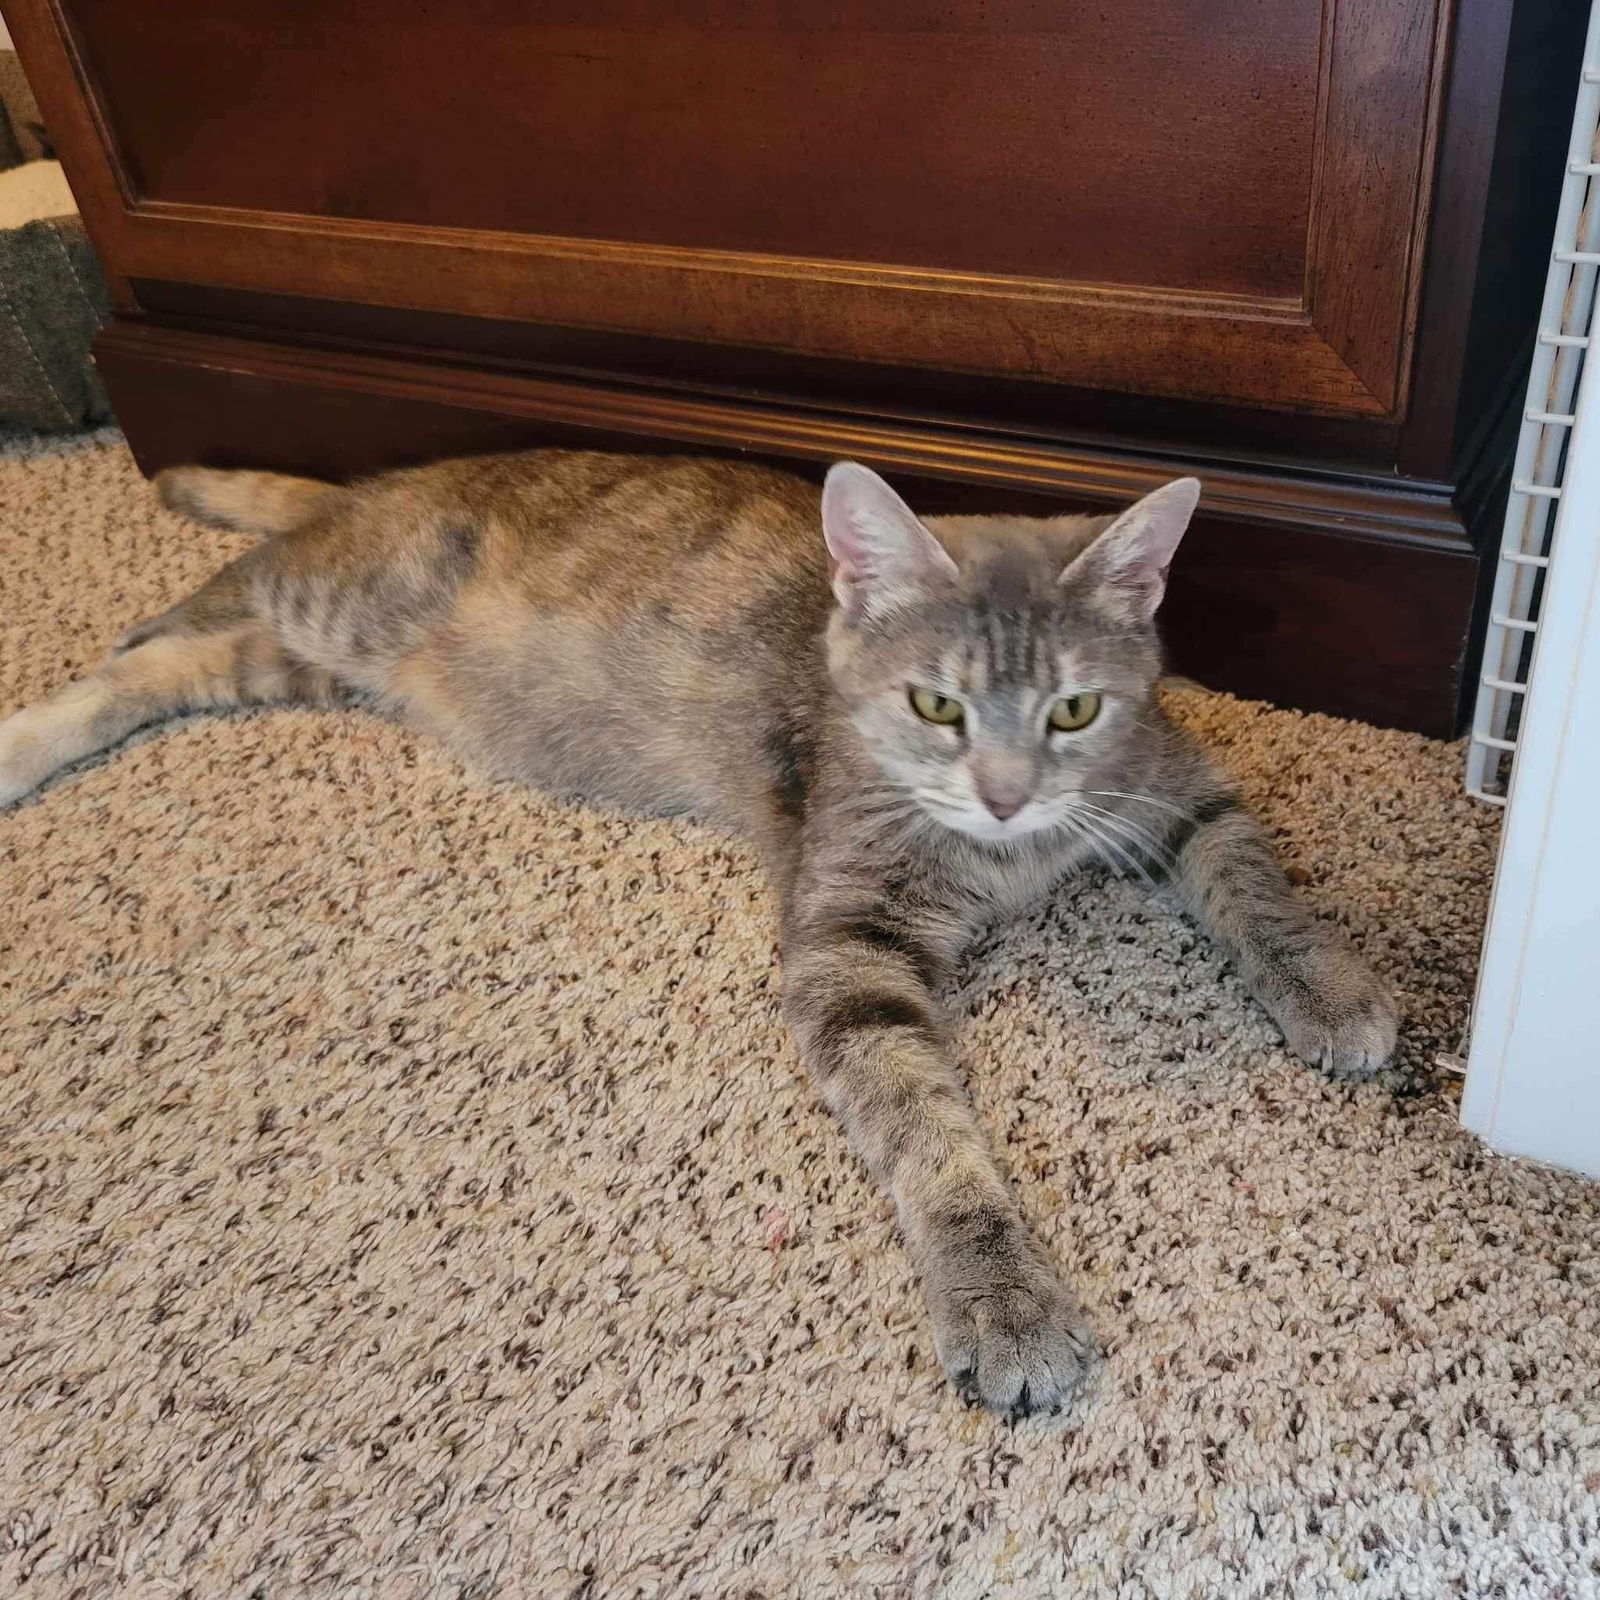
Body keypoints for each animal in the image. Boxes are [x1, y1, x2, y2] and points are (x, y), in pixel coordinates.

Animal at [0, 448, 1395, 1414]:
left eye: (1072, 710)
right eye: (935, 705)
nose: (1005, 794)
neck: (1006, 854)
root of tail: (394, 475)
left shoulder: (1178, 786)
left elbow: (1256, 883)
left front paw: (1329, 987)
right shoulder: (846, 947)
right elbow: (934, 1137)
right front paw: (1001, 1298)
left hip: (316, 663)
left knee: (175, 666)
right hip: (331, 598)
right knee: (176, 616)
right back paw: (34, 724)